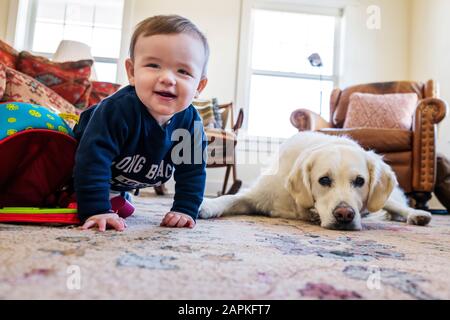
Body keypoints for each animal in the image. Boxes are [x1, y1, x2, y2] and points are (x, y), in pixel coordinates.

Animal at [199, 131, 430, 231]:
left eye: (360, 181)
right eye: (324, 180)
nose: (345, 215)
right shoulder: (257, 195)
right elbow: (229, 198)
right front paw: (207, 205)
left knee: (397, 207)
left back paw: (417, 215)